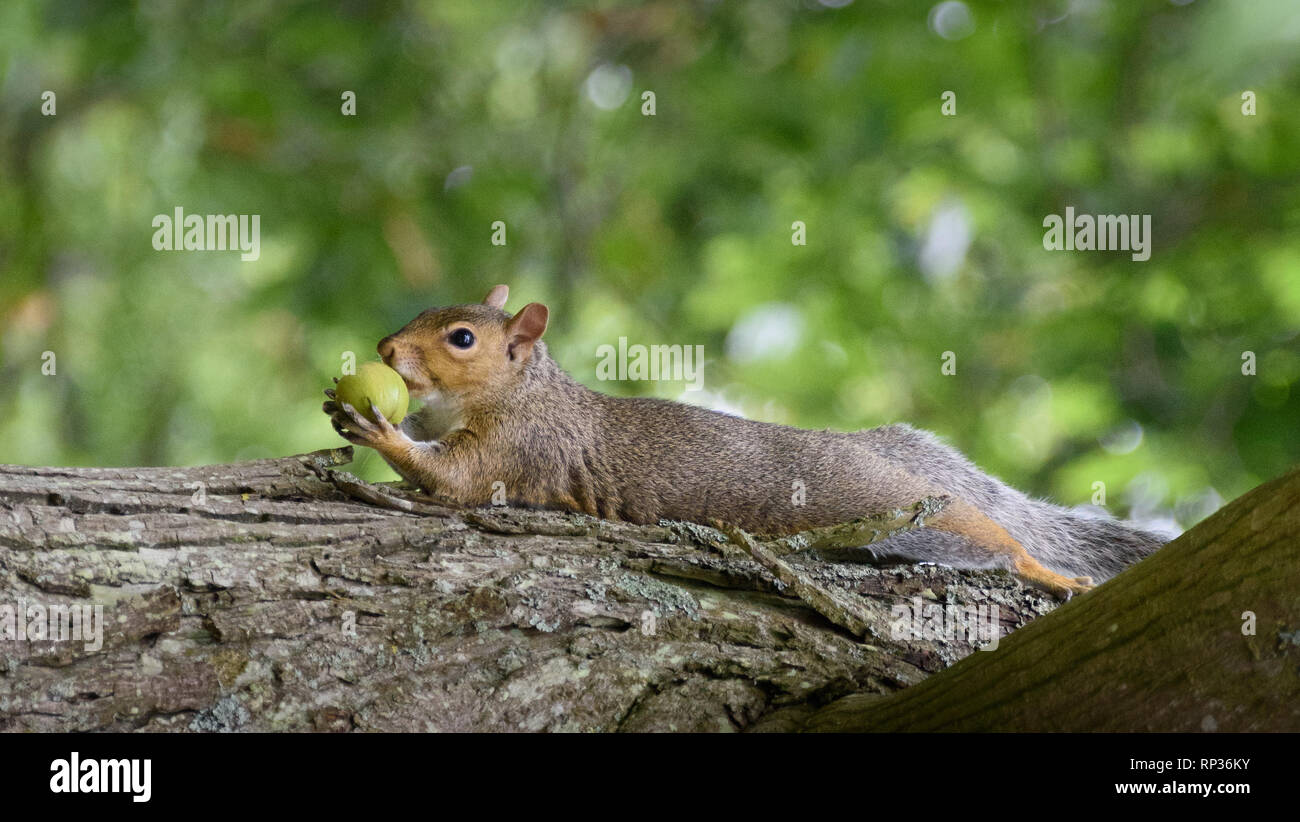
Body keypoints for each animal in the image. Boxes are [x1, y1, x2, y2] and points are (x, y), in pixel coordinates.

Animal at [325, 286, 1170, 600]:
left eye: (462, 339)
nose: (385, 348)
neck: (526, 391)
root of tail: (881, 455)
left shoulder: (523, 449)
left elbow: (460, 482)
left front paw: (379, 431)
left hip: (915, 510)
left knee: (1002, 542)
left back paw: (1056, 576)